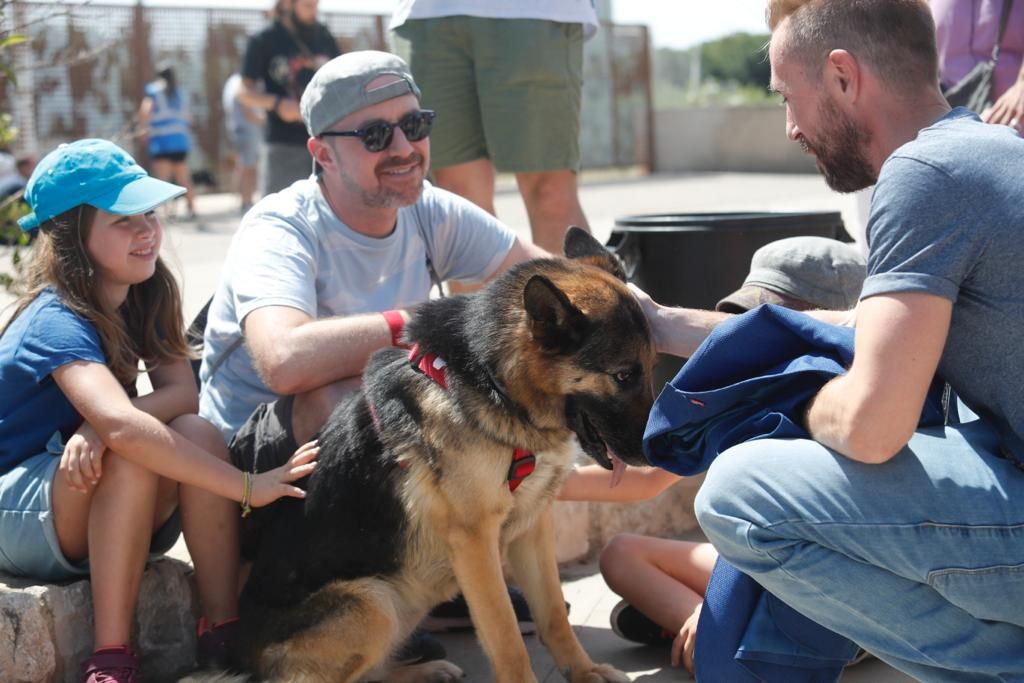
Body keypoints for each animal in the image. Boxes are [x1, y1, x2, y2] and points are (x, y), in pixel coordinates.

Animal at [228, 231, 655, 683]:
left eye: (650, 366)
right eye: (623, 375)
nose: (654, 452)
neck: (492, 384)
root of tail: (242, 655)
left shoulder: (532, 526)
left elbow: (553, 614)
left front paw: (584, 671)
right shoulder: (475, 540)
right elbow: (506, 638)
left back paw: (423, 671)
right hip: (373, 601)